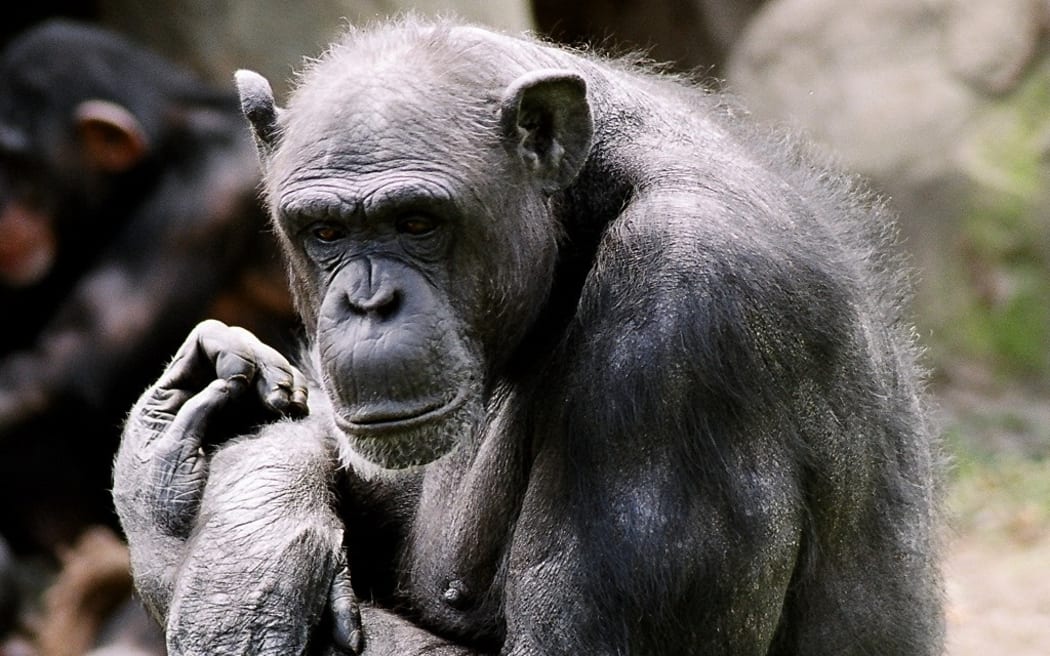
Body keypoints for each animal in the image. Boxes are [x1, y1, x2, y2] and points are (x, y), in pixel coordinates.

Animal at [112, 15, 944, 654]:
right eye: (324, 232)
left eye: (418, 222)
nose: (369, 302)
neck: (582, 207)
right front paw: (228, 488)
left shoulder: (685, 325)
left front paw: (201, 548)